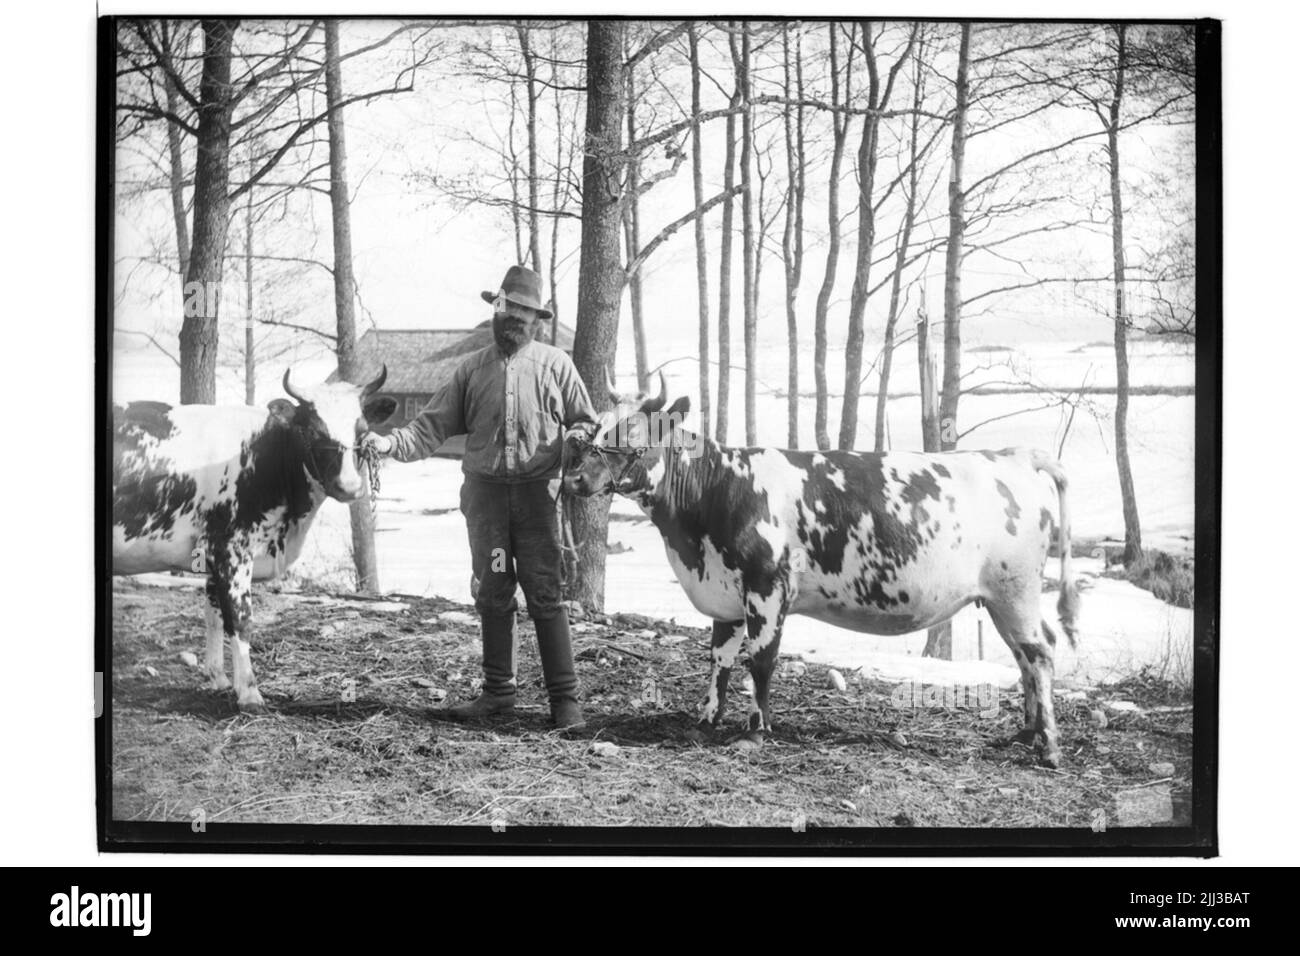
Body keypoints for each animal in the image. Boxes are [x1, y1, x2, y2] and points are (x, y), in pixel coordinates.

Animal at [110, 366, 395, 712]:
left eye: (362, 430)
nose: (350, 487)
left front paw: (219, 678)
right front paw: (249, 693)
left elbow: (214, 615)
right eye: (313, 432)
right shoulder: (231, 549)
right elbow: (240, 619)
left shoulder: (211, 555)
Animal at [564, 374, 1081, 770]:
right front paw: (706, 717)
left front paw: (755, 732)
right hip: (999, 597)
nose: (574, 478)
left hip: (1016, 589)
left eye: (633, 431)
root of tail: (1013, 454)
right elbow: (719, 659)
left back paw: (1050, 748)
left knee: (1038, 652)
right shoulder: (725, 593)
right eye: (597, 427)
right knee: (1025, 655)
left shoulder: (767, 586)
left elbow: (761, 660)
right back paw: (1027, 734)